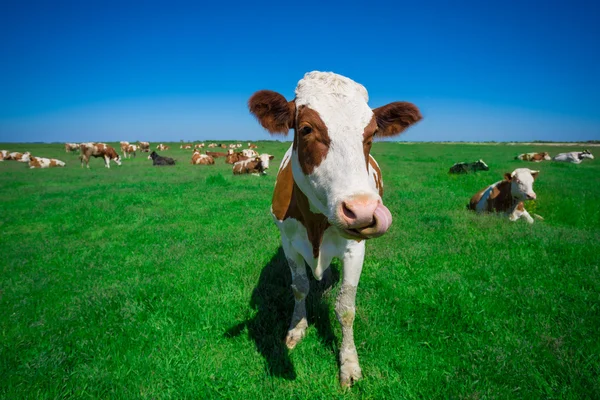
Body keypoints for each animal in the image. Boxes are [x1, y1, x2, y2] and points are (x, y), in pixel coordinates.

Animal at [248, 70, 422, 386]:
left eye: (372, 133)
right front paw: (297, 328)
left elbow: (347, 308)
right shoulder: (289, 243)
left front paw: (349, 363)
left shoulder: (356, 249)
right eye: (305, 128)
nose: (362, 211)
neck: (316, 222)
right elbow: (300, 287)